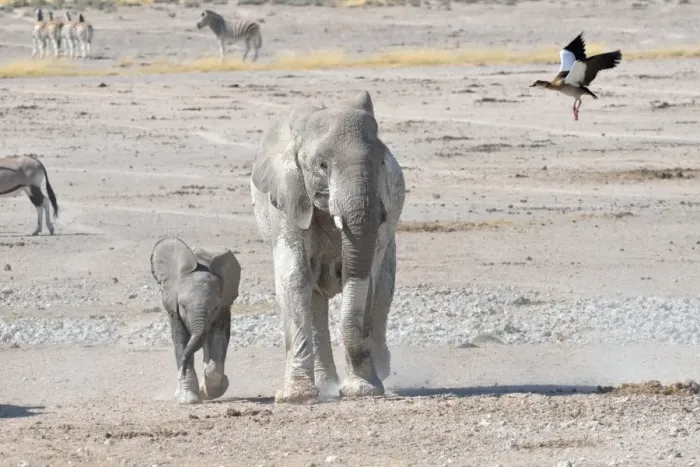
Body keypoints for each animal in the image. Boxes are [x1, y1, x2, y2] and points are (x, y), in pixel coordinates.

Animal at [150, 237, 241, 405]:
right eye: (183, 306)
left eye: (215, 307)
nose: (180, 373)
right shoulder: (173, 307)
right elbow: (181, 341)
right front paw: (187, 399)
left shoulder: (224, 307)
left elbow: (219, 340)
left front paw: (209, 390)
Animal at [250, 90, 406, 404]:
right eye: (322, 166)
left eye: (382, 163)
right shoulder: (287, 196)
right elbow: (295, 277)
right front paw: (297, 397)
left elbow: (364, 280)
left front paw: (362, 389)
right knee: (314, 298)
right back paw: (327, 386)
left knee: (382, 290)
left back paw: (379, 366)